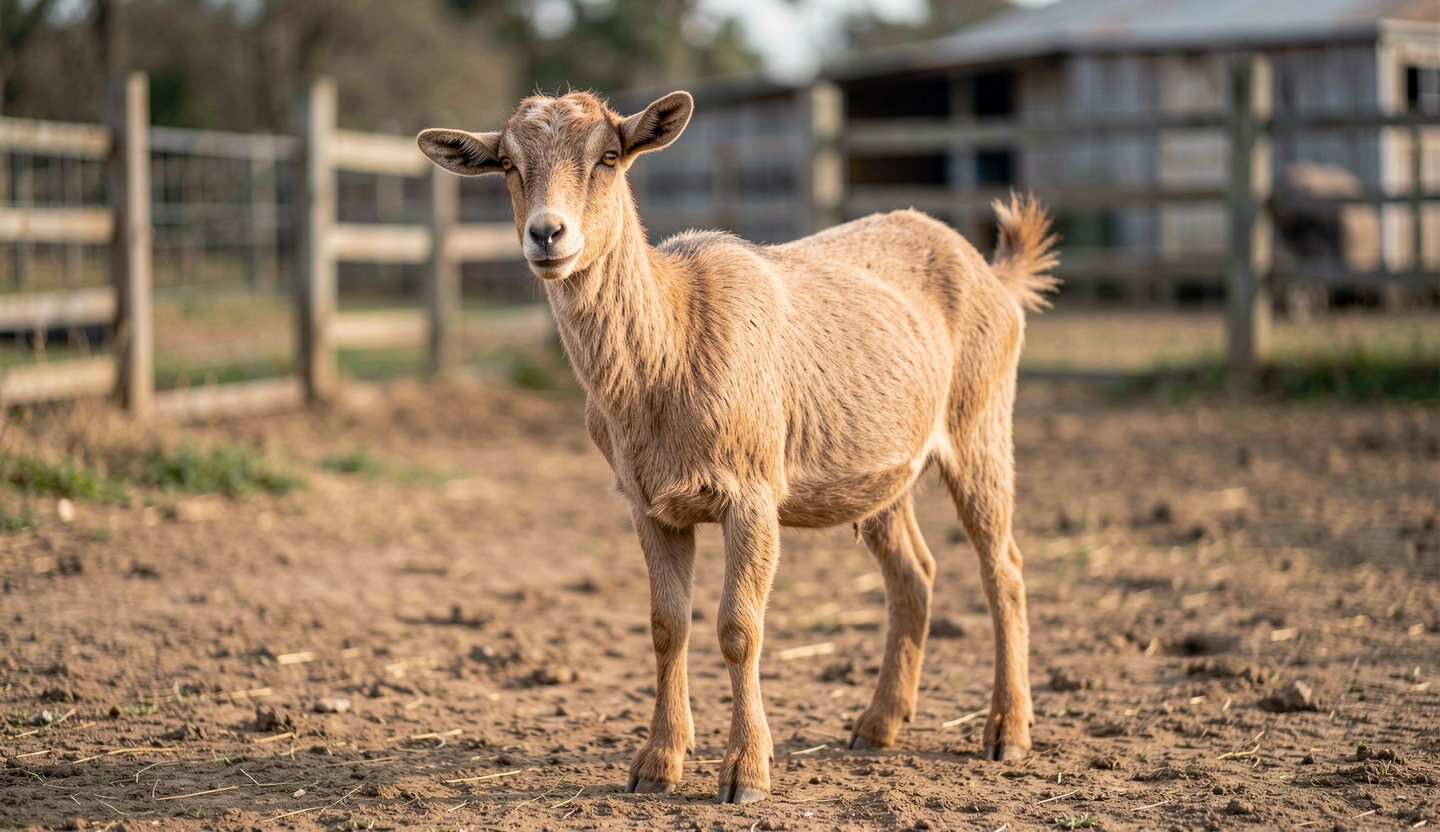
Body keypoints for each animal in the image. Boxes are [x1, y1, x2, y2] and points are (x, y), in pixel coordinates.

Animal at [418, 90, 1059, 804]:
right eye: (507, 163)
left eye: (609, 156)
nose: (547, 234)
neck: (673, 343)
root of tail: (994, 274)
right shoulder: (648, 505)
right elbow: (666, 626)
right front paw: (657, 763)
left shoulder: (752, 493)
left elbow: (739, 629)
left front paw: (746, 773)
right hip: (882, 470)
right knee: (914, 574)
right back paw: (877, 725)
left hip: (981, 422)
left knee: (1004, 568)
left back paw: (1007, 732)